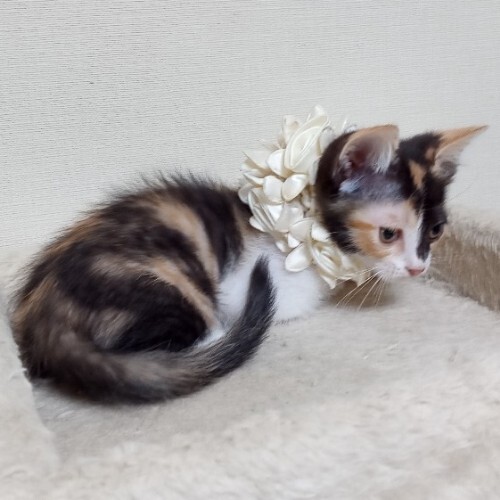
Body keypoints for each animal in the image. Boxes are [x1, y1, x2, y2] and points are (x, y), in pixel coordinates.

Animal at [11, 124, 484, 403]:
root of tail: (44, 321)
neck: (301, 229)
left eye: (436, 231)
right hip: (165, 288)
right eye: (389, 234)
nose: (417, 268)